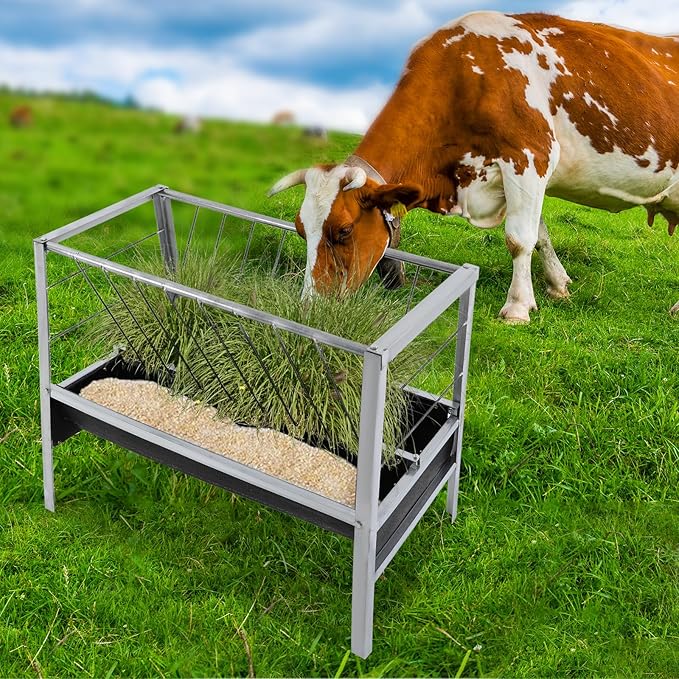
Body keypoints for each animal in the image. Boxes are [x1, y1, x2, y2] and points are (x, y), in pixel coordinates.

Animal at [268, 12, 679, 322]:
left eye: (344, 230)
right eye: (301, 230)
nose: (309, 309)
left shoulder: (529, 156)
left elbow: (519, 238)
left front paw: (517, 307)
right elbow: (540, 234)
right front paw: (557, 285)